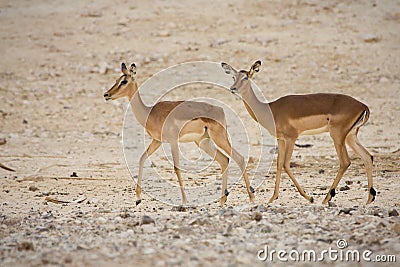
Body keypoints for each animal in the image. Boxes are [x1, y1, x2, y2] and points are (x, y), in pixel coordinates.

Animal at [102, 62, 253, 207]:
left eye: (124, 81)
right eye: (116, 80)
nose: (106, 95)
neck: (149, 113)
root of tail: (220, 110)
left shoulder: (173, 141)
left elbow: (176, 168)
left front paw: (184, 201)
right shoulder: (157, 141)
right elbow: (142, 158)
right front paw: (138, 199)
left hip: (219, 138)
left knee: (239, 158)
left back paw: (251, 197)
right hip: (204, 143)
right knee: (224, 160)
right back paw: (222, 200)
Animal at [222, 61, 376, 205]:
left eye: (246, 77)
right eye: (233, 77)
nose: (233, 89)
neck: (270, 109)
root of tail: (363, 106)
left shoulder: (292, 137)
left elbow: (286, 164)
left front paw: (309, 197)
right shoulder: (281, 139)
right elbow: (279, 164)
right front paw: (272, 197)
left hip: (337, 136)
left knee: (345, 162)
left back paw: (326, 198)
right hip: (350, 136)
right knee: (368, 157)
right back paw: (369, 198)